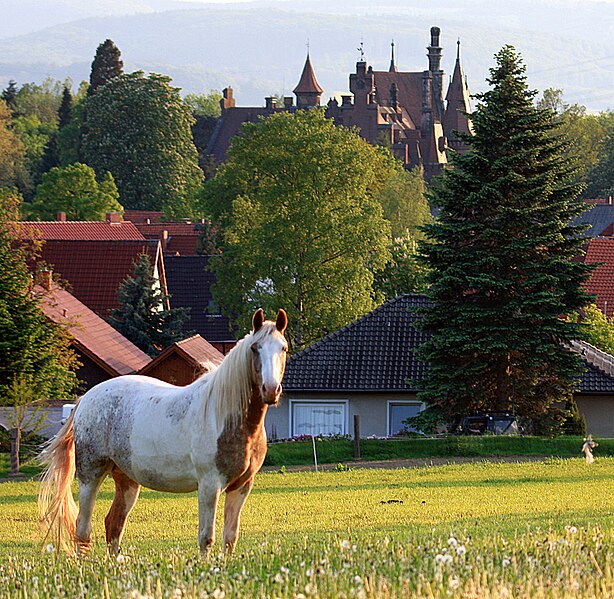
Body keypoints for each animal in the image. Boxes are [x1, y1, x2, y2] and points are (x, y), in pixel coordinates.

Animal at [39, 310, 290, 556]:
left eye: (283, 348)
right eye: (255, 348)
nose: (271, 390)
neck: (225, 416)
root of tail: (85, 399)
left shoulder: (241, 486)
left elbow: (230, 539)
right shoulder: (209, 485)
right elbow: (206, 538)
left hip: (127, 480)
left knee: (113, 524)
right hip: (91, 475)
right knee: (83, 529)